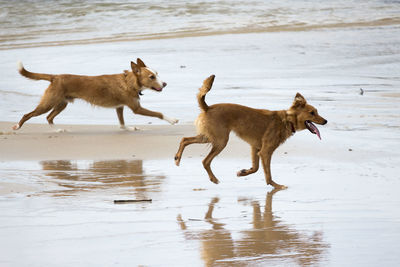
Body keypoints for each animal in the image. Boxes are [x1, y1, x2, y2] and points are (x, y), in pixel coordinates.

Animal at [12, 58, 178, 131]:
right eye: (152, 77)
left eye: (157, 74)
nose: (165, 84)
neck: (129, 82)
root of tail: (55, 77)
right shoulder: (136, 108)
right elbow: (158, 113)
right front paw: (172, 120)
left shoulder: (119, 107)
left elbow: (122, 123)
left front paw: (128, 129)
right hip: (48, 103)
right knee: (29, 114)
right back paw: (17, 126)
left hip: (62, 104)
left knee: (49, 117)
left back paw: (58, 130)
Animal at [175, 74, 328, 189]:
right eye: (312, 113)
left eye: (317, 112)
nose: (326, 121)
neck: (287, 120)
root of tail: (208, 108)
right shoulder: (265, 151)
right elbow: (267, 174)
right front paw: (276, 186)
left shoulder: (256, 148)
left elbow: (255, 168)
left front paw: (243, 172)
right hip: (220, 141)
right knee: (205, 161)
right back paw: (213, 179)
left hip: (209, 137)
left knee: (184, 140)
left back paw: (177, 158)